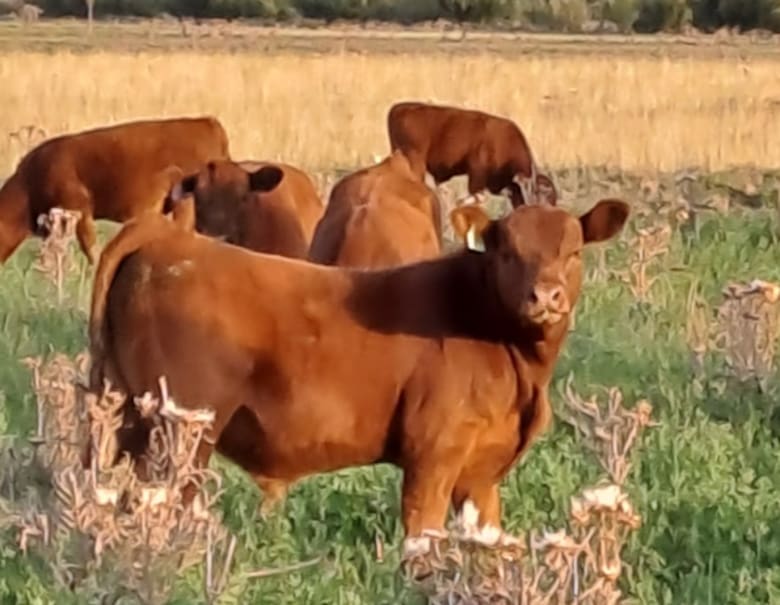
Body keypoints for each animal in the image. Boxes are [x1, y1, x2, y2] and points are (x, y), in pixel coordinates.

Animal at [87, 196, 629, 560]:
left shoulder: (482, 474)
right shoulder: (433, 456)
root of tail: (171, 239)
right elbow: (422, 537)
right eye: (508, 251)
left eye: (574, 252)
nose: (546, 296)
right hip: (180, 433)